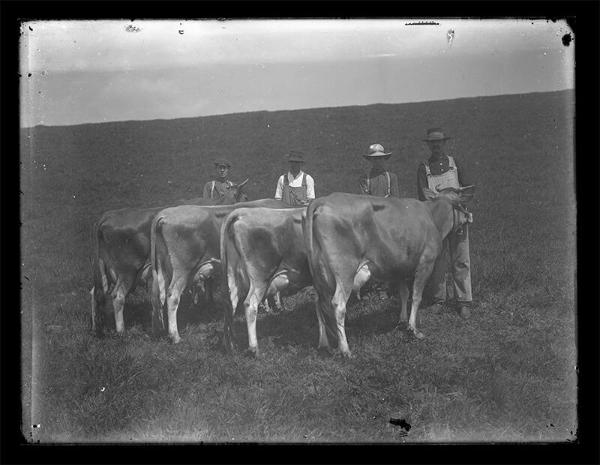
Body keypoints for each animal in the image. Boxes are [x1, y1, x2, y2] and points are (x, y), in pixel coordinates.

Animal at [89, 179, 248, 336]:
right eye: (244, 197)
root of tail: (107, 216)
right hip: (128, 271)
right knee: (118, 296)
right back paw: (122, 331)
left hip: (104, 269)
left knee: (95, 293)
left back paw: (97, 327)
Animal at [149, 198, 288, 342]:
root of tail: (164, 214)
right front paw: (276, 306)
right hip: (183, 269)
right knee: (172, 296)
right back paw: (175, 336)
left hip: (162, 267)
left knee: (158, 295)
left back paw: (159, 330)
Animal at [221, 207, 312, 356]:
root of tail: (243, 212)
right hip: (260, 276)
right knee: (250, 304)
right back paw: (254, 348)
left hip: (232, 272)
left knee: (231, 302)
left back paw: (232, 345)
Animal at [304, 187, 474, 358]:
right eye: (462, 203)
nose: (470, 217)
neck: (432, 217)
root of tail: (323, 200)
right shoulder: (426, 263)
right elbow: (416, 296)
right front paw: (413, 329)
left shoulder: (399, 267)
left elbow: (404, 294)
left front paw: (402, 321)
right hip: (345, 270)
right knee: (338, 305)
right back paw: (345, 349)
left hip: (322, 274)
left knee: (319, 302)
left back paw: (324, 343)